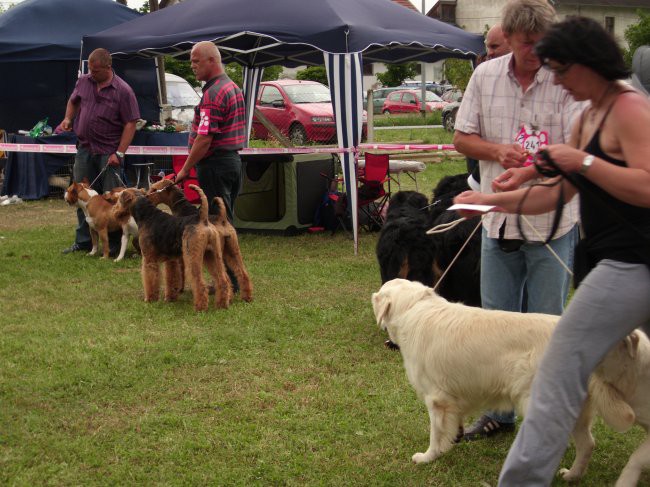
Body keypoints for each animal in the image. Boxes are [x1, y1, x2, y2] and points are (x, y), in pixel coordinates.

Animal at [372, 278, 632, 480]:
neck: (414, 308)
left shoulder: (437, 400)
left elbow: (435, 434)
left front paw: (428, 457)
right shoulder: (453, 398)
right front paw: (454, 439)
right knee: (587, 443)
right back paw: (572, 475)